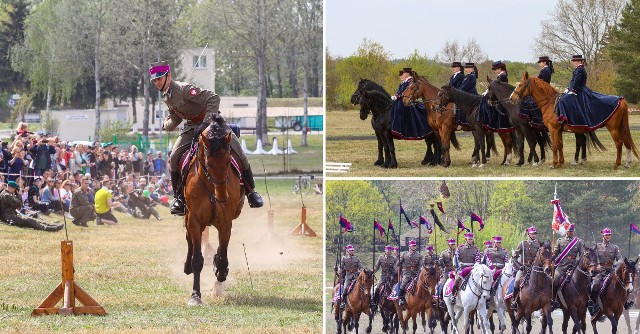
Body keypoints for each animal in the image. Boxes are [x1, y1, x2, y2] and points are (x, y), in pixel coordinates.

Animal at [185, 115, 248, 306]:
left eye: (229, 161)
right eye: (208, 163)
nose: (222, 197)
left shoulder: (225, 222)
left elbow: (222, 255)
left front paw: (220, 272)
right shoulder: (194, 221)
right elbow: (197, 258)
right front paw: (195, 296)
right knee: (189, 241)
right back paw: (187, 266)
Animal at [508, 72, 636, 168]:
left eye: (521, 84)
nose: (511, 98)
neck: (550, 103)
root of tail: (621, 99)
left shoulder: (552, 129)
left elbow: (554, 146)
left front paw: (553, 164)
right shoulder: (558, 130)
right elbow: (560, 145)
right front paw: (560, 163)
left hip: (613, 128)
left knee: (619, 143)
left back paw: (616, 164)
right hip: (620, 127)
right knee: (626, 142)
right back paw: (627, 163)